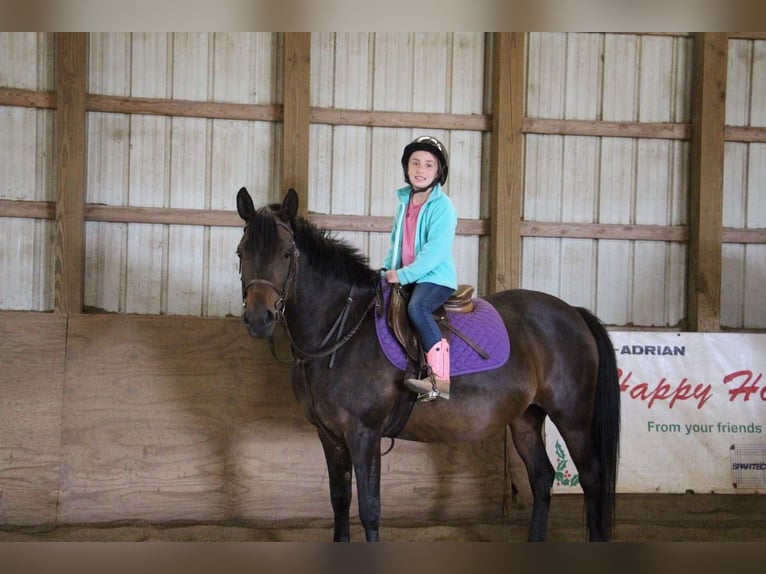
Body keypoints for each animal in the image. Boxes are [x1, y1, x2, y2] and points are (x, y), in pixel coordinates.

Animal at [237, 189, 620, 544]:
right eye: (242, 253)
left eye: (286, 254)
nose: (259, 318)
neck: (342, 331)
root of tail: (573, 313)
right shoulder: (330, 436)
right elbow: (340, 501)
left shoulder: (364, 434)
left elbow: (370, 510)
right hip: (526, 416)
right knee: (542, 478)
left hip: (573, 418)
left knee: (593, 479)